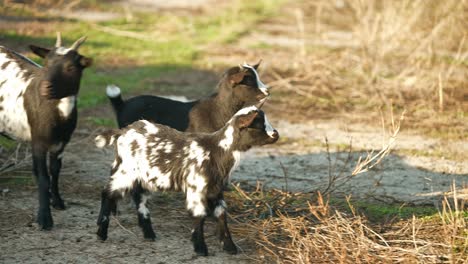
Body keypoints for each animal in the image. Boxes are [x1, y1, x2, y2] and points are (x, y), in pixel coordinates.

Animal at [0, 34, 92, 230]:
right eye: (47, 63)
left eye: (71, 67)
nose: (45, 87)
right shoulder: (39, 142)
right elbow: (43, 177)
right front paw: (44, 219)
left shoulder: (61, 143)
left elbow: (55, 171)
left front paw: (57, 202)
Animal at [94, 105, 278, 256]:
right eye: (259, 124)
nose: (276, 134)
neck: (216, 150)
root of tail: (122, 132)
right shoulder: (197, 188)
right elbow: (199, 215)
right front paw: (200, 249)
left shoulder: (216, 189)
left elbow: (221, 215)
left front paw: (230, 247)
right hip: (126, 171)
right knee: (107, 193)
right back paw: (101, 233)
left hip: (144, 175)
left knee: (138, 197)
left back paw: (149, 234)